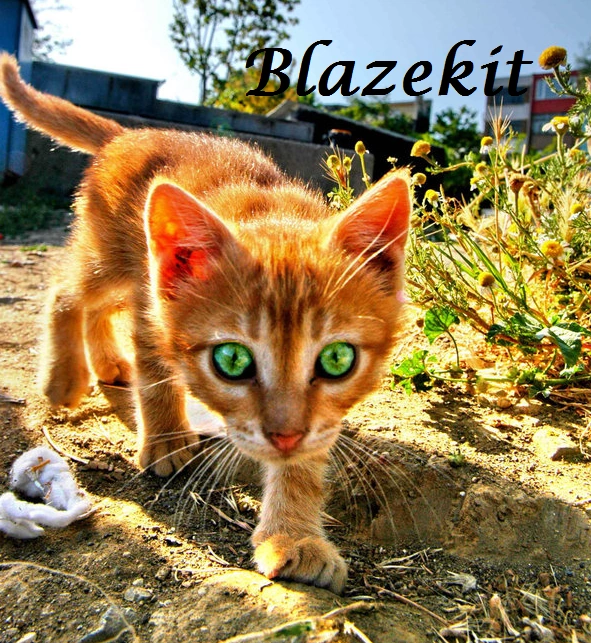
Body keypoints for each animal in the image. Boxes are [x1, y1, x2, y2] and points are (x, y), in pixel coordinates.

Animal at [0, 53, 410, 594]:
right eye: (231, 360)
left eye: (337, 359)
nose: (284, 435)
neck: (269, 212)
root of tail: (131, 134)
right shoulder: (156, 307)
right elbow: (156, 374)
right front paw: (166, 442)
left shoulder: (319, 419)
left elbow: (307, 456)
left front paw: (294, 534)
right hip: (110, 257)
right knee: (68, 292)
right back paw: (65, 377)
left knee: (101, 307)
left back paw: (108, 364)